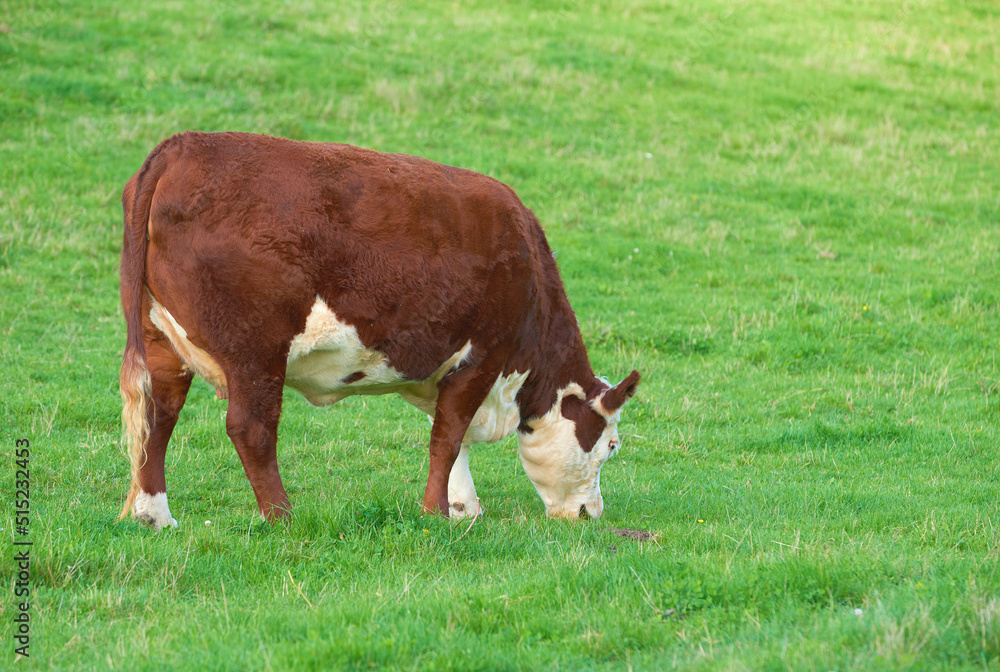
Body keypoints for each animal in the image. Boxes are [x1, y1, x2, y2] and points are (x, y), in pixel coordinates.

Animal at [119, 133, 640, 532]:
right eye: (611, 446)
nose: (590, 513)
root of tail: (181, 147)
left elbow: (451, 435)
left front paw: (463, 507)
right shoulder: (484, 354)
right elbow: (448, 436)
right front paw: (436, 514)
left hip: (161, 340)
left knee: (156, 417)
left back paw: (154, 516)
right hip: (255, 349)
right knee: (251, 428)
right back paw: (283, 517)